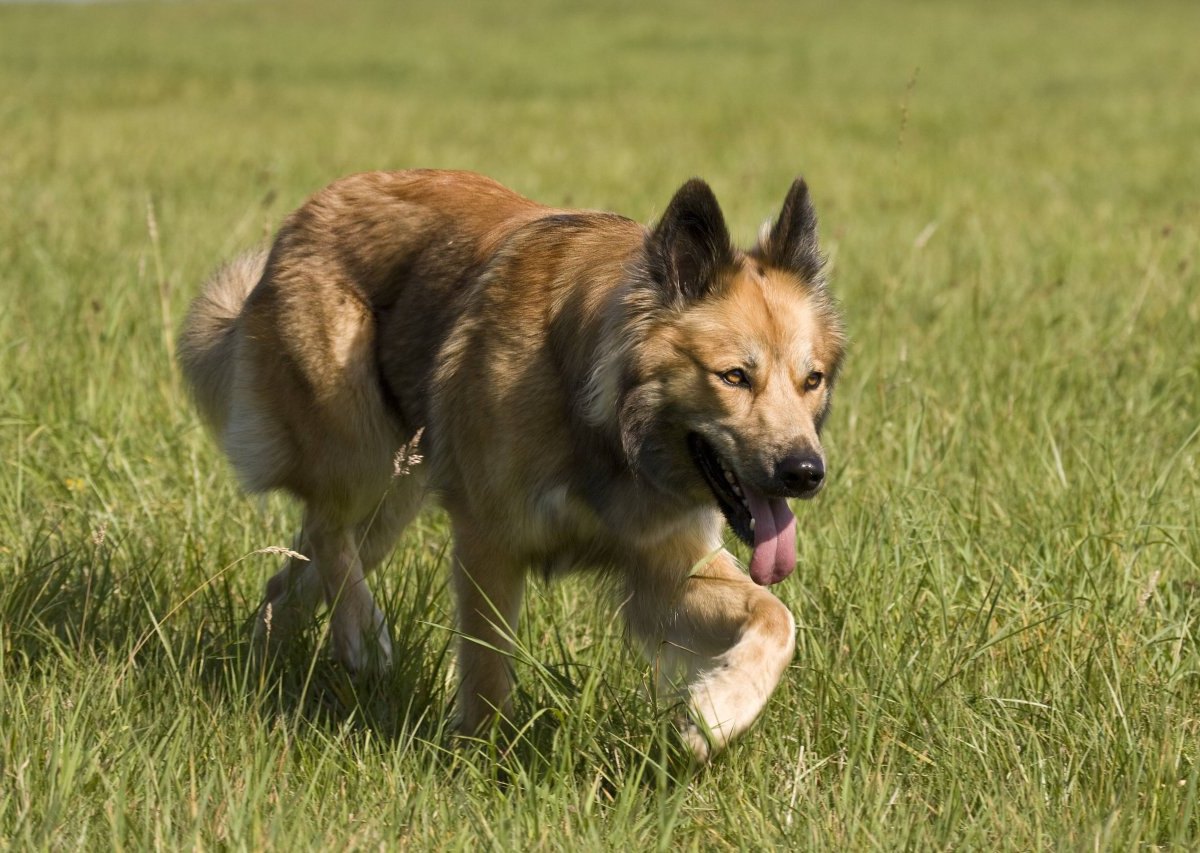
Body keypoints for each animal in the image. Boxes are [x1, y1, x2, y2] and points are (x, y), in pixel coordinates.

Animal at [182, 167, 849, 763]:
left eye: (811, 380)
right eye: (734, 376)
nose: (805, 473)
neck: (596, 416)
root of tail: (305, 217)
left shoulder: (663, 568)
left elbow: (778, 619)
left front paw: (716, 712)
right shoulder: (489, 545)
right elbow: (487, 671)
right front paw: (483, 768)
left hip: (392, 503)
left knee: (294, 576)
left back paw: (266, 667)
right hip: (364, 453)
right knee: (326, 529)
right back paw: (362, 637)